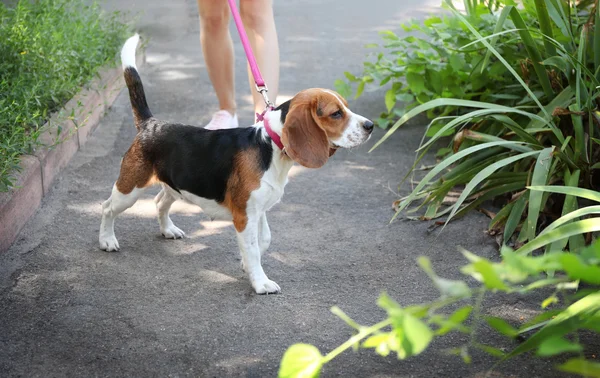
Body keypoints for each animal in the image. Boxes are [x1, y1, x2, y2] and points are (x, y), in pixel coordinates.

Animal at [99, 34, 370, 294]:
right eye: (336, 113)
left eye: (346, 107)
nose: (370, 126)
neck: (271, 147)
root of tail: (151, 124)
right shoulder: (245, 215)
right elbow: (253, 248)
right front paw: (260, 283)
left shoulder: (257, 210)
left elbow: (263, 240)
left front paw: (246, 265)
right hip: (130, 189)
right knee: (107, 207)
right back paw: (107, 240)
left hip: (174, 185)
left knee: (159, 202)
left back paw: (168, 229)